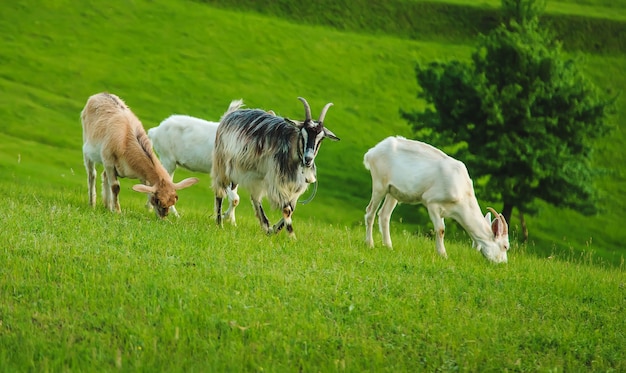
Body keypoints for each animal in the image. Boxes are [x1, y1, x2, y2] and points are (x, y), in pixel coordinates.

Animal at [211, 96, 338, 235]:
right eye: (302, 134)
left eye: (321, 138)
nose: (308, 159)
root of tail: (229, 115)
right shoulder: (277, 182)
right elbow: (287, 209)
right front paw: (291, 235)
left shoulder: (294, 186)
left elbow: (291, 208)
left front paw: (274, 229)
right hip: (222, 164)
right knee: (220, 192)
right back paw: (219, 223)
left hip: (249, 174)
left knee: (253, 198)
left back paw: (263, 226)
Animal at [360, 136, 508, 262]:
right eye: (505, 246)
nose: (503, 263)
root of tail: (371, 153)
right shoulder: (432, 202)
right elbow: (441, 230)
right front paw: (443, 254)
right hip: (380, 184)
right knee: (370, 212)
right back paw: (370, 244)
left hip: (393, 192)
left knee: (384, 214)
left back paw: (389, 246)